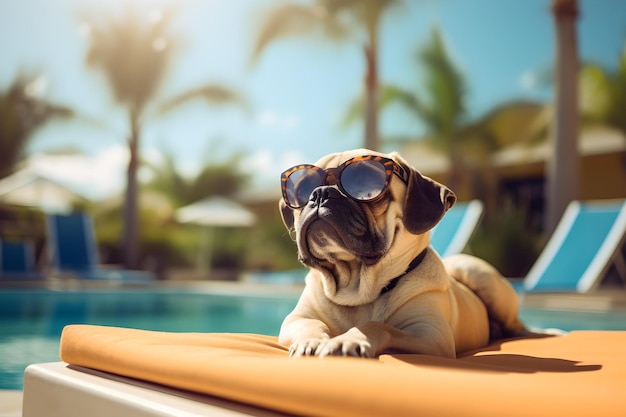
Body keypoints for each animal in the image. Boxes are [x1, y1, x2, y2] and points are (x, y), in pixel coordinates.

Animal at [278, 149, 528, 358]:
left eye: (366, 185)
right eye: (302, 190)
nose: (320, 193)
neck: (359, 291)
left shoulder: (430, 333)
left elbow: (378, 326)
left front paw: (348, 340)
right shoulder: (296, 319)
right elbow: (313, 324)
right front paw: (311, 341)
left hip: (476, 273)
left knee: (516, 325)